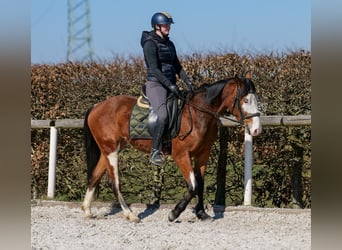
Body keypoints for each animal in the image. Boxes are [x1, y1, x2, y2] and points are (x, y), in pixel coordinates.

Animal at [81, 71, 262, 222]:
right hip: (111, 150)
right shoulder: (181, 155)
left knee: (95, 176)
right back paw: (130, 214)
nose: (256, 129)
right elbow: (193, 186)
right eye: (246, 100)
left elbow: (200, 184)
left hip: (109, 150)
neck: (198, 114)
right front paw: (174, 213)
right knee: (114, 182)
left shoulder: (203, 154)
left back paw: (87, 210)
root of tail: (97, 106)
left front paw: (201, 213)